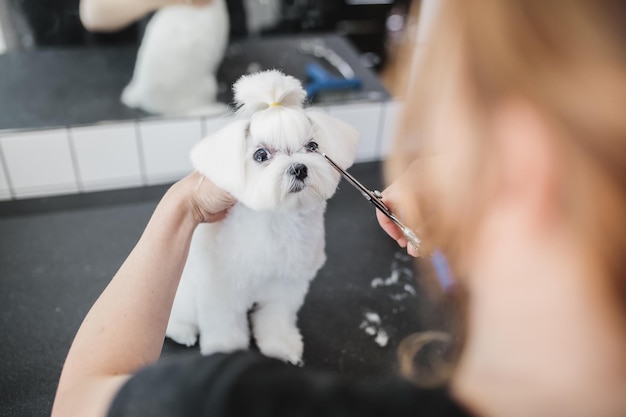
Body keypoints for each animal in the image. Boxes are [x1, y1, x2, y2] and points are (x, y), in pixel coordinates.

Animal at [166, 70, 358, 362]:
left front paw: (281, 345)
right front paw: (225, 349)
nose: (299, 168)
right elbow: (223, 323)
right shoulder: (221, 288)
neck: (277, 219)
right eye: (260, 155)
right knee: (176, 316)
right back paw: (182, 331)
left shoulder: (286, 286)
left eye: (312, 146)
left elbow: (276, 318)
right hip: (185, 291)